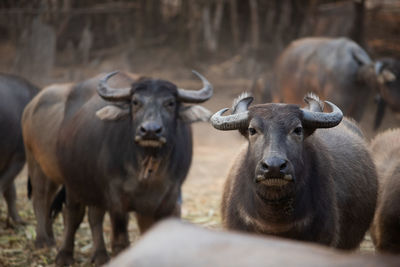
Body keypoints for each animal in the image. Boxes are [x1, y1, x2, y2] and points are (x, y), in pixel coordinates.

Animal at [22, 70, 212, 266]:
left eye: (170, 103)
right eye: (135, 102)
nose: (150, 130)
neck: (147, 165)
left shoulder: (169, 200)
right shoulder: (117, 199)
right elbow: (120, 242)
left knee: (94, 215)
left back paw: (99, 255)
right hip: (54, 172)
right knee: (62, 208)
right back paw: (55, 249)